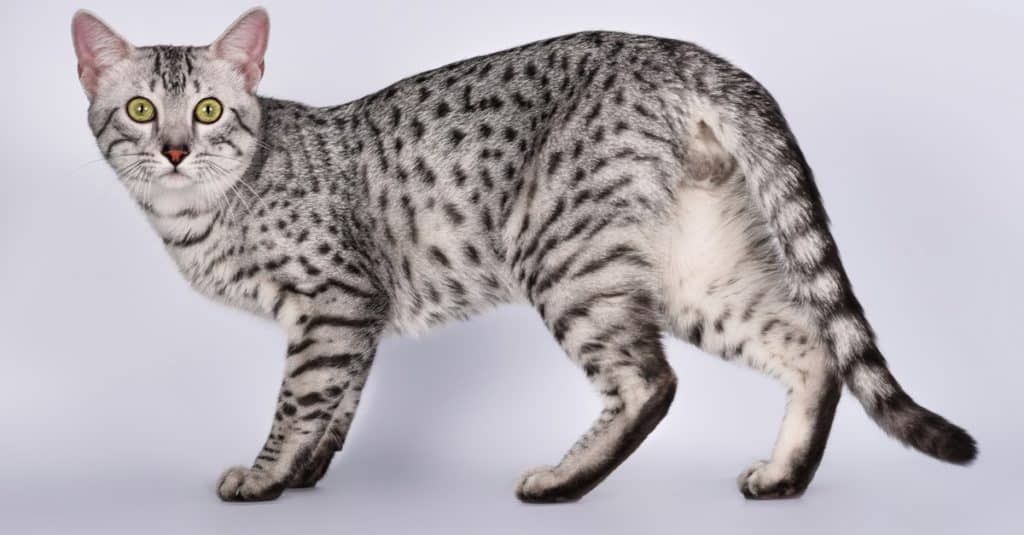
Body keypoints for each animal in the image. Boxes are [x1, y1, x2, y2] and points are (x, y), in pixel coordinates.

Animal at [72, 7, 974, 500]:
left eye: (211, 110)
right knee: (813, 343)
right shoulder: (359, 315)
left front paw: (263, 477)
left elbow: (301, 400)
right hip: (697, 269)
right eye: (143, 110)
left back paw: (563, 480)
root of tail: (678, 51)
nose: (178, 150)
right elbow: (337, 403)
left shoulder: (336, 302)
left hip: (562, 253)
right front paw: (304, 472)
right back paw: (784, 477)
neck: (201, 212)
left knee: (651, 382)